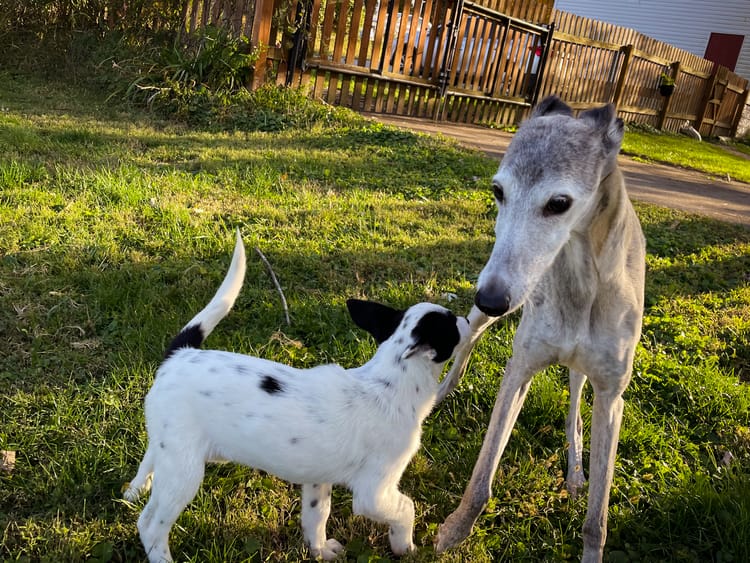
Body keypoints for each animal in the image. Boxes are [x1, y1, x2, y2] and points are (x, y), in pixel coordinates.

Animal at [126, 231, 472, 560]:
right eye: (453, 324)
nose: (469, 319)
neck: (388, 382)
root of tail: (180, 354)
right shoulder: (374, 492)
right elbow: (406, 509)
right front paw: (406, 547)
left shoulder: (318, 479)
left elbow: (316, 516)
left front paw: (319, 551)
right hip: (184, 470)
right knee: (150, 524)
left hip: (171, 444)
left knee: (149, 459)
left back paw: (134, 490)